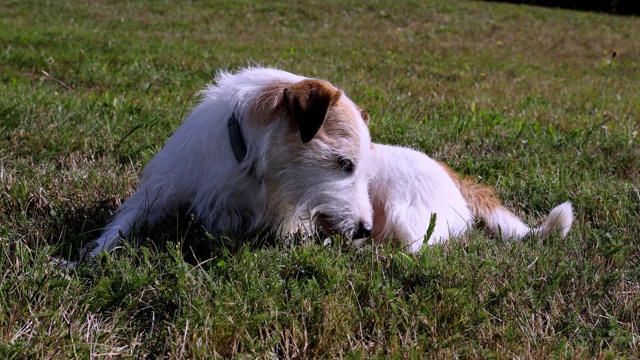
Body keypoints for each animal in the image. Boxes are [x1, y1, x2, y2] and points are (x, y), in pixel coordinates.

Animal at [79, 66, 376, 260]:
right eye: (344, 163)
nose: (366, 230)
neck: (249, 165)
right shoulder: (159, 193)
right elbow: (121, 227)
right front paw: (86, 259)